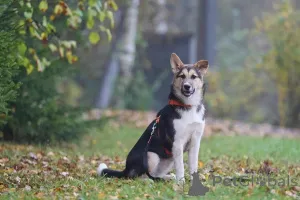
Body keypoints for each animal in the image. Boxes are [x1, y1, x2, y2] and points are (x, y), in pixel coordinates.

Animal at [97, 52, 207, 184]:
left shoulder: (195, 142)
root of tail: (126, 169)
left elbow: (193, 165)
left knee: (155, 174)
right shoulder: (177, 143)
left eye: (194, 77)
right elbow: (180, 166)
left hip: (169, 159)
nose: (187, 86)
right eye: (182, 76)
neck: (188, 106)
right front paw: (181, 182)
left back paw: (166, 177)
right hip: (151, 156)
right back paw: (147, 181)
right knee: (137, 176)